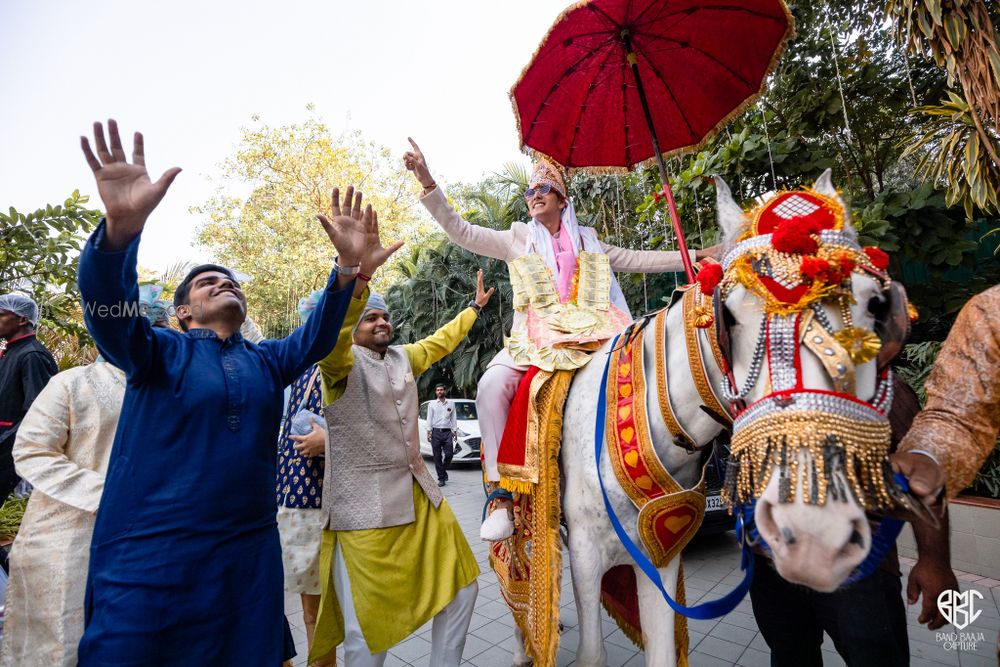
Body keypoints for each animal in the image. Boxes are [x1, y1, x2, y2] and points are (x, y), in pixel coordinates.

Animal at [508, 170, 900, 664]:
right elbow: (591, 653)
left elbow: (660, 650)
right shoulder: (585, 549)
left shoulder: (658, 550)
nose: (816, 531)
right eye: (729, 317)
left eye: (873, 303)